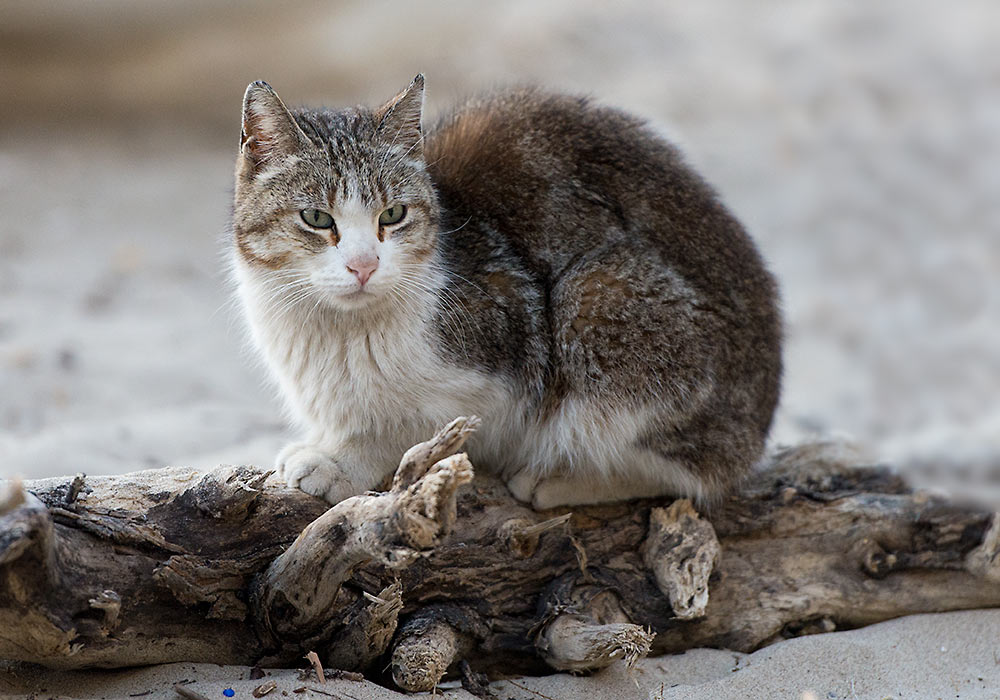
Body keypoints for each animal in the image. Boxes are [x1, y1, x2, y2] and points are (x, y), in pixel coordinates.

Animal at [232, 74, 780, 508]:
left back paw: (555, 479)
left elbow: (410, 427)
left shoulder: (509, 360)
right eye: (316, 218)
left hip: (597, 298)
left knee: (694, 471)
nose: (364, 265)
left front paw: (340, 460)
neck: (338, 332)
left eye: (393, 214)